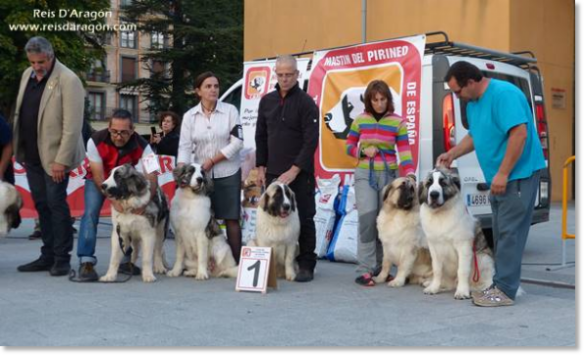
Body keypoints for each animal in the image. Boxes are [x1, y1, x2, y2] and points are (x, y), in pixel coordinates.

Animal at [416, 167, 492, 298]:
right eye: (429, 183)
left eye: (443, 183)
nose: (434, 194)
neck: (440, 215)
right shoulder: (434, 248)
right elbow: (437, 269)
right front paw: (434, 288)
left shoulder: (464, 246)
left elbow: (462, 270)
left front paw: (462, 291)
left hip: (483, 258)